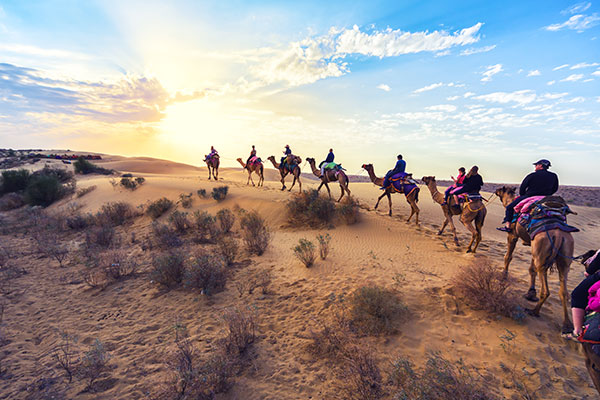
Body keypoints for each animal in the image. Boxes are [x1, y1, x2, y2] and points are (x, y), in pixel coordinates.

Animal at [494, 186, 576, 332]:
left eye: (501, 189)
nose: (496, 190)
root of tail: (559, 235)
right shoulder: (533, 246)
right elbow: (531, 269)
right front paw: (530, 293)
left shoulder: (513, 235)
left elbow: (508, 256)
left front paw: (503, 275)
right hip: (562, 256)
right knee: (564, 292)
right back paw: (567, 325)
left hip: (542, 253)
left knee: (546, 290)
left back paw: (534, 311)